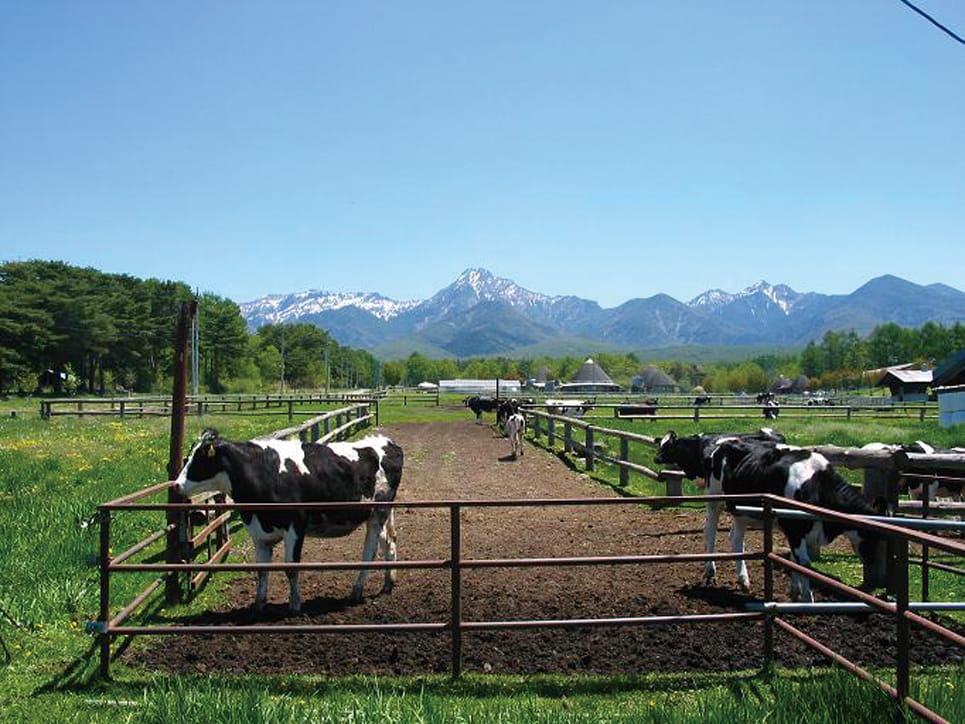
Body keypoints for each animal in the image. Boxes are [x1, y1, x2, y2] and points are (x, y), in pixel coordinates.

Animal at [174, 429, 403, 612]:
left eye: (200, 458)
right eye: (188, 457)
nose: (176, 485)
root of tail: (387, 442)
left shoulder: (296, 525)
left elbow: (291, 568)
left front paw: (294, 604)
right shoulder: (258, 531)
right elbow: (261, 569)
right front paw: (259, 604)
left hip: (378, 511)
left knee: (370, 551)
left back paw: (357, 591)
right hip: (377, 515)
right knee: (389, 542)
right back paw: (388, 583)